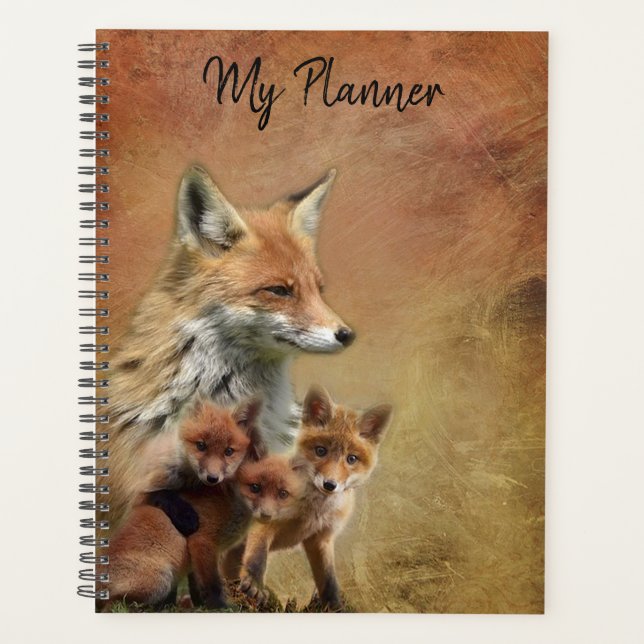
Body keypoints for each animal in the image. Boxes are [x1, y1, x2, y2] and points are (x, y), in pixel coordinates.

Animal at [238, 385, 392, 610]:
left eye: (351, 459)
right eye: (321, 451)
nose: (329, 485)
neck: (312, 511)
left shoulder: (321, 538)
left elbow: (328, 579)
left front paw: (335, 606)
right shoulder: (264, 519)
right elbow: (257, 556)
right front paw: (254, 584)